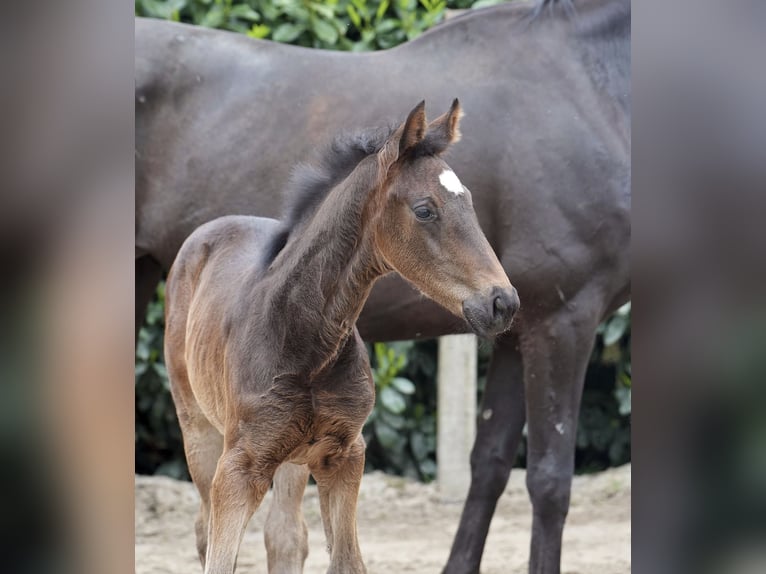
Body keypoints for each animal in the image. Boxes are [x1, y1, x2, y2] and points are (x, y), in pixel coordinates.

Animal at [164, 100, 520, 574]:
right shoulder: (239, 466)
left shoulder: (345, 454)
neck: (304, 339)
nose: (503, 302)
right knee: (207, 529)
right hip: (198, 429)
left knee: (286, 535)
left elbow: (346, 560)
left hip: (292, 455)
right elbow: (222, 560)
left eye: (470, 203)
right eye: (425, 210)